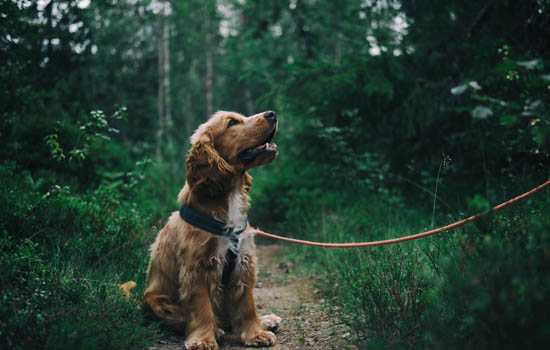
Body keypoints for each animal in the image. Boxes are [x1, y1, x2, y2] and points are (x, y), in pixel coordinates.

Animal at [143, 110, 280, 348]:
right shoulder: (197, 268)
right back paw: (217, 330)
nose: (272, 113)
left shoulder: (244, 262)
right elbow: (201, 309)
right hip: (155, 300)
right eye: (232, 122)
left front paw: (256, 333)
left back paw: (266, 320)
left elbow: (247, 305)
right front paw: (203, 340)